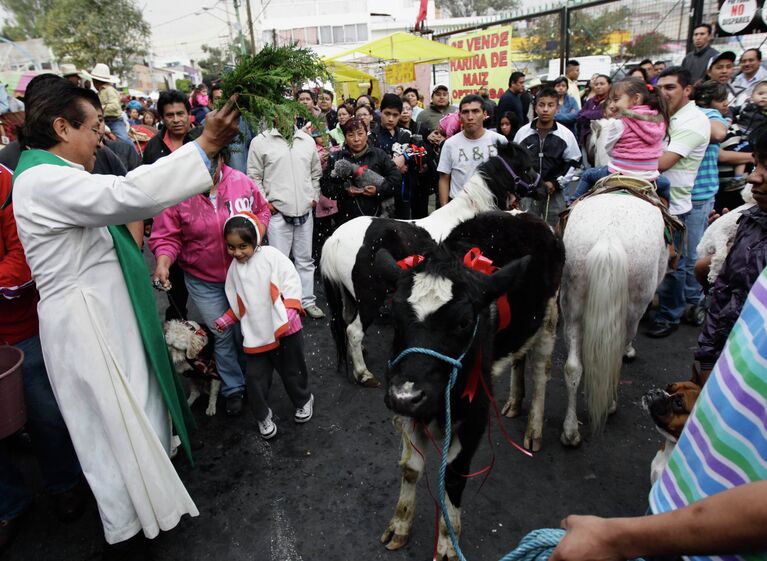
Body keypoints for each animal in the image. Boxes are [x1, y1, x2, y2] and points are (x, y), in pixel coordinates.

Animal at [320, 141, 536, 384]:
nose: (542, 189)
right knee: (354, 331)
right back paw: (363, 374)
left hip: (350, 296)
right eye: (527, 167)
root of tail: (334, 239)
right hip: (369, 298)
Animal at [376, 211, 564, 560]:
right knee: (519, 359)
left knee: (540, 371)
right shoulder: (408, 403)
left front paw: (448, 545)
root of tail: (527, 214)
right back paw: (514, 402)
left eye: (464, 322)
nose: (406, 395)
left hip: (549, 318)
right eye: (394, 318)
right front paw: (400, 526)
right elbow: (410, 468)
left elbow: (453, 476)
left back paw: (534, 428)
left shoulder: (475, 412)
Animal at [560, 190, 672, 444]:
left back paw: (570, 431)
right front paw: (630, 351)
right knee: (616, 356)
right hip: (632, 309)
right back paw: (610, 404)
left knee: (573, 368)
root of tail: (609, 238)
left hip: (572, 306)